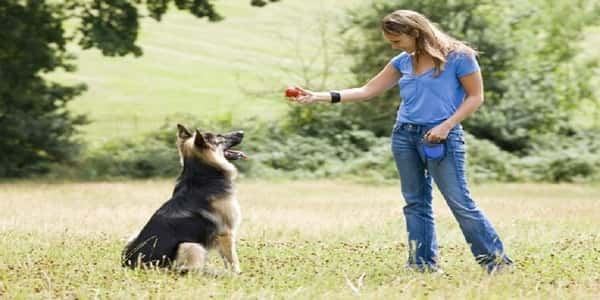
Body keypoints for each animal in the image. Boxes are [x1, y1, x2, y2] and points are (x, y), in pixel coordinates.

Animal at [122, 123, 246, 274]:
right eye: (219, 136)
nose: (242, 132)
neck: (202, 175)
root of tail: (135, 265)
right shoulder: (226, 235)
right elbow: (233, 261)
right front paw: (237, 274)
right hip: (191, 246)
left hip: (132, 238)